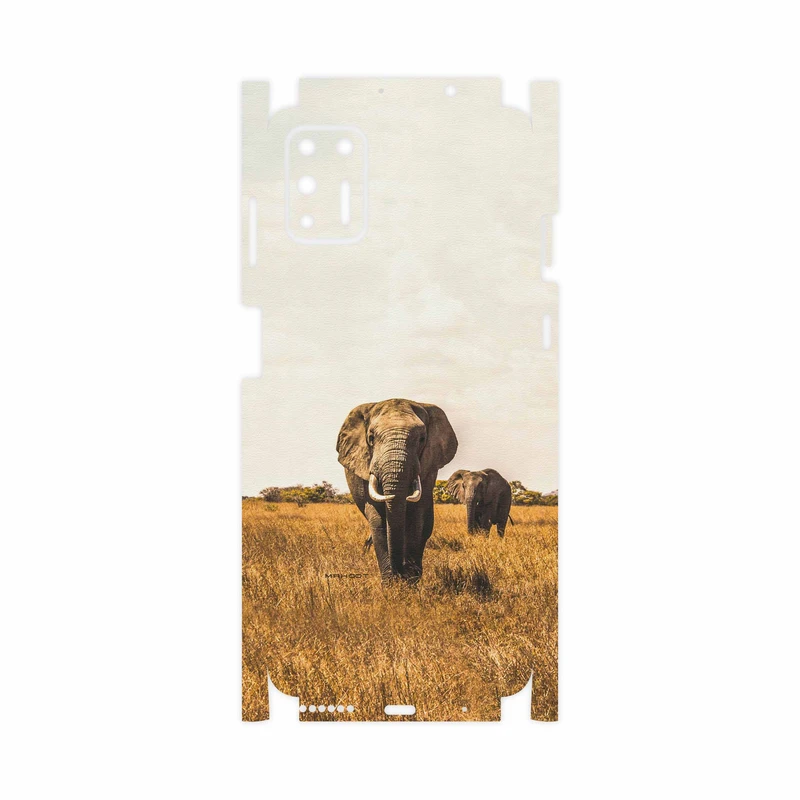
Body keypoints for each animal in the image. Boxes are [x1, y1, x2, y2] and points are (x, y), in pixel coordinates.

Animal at [336, 399, 458, 582]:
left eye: (422, 439)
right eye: (371, 438)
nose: (399, 573)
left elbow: (416, 518)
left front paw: (410, 581)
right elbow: (378, 521)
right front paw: (391, 583)